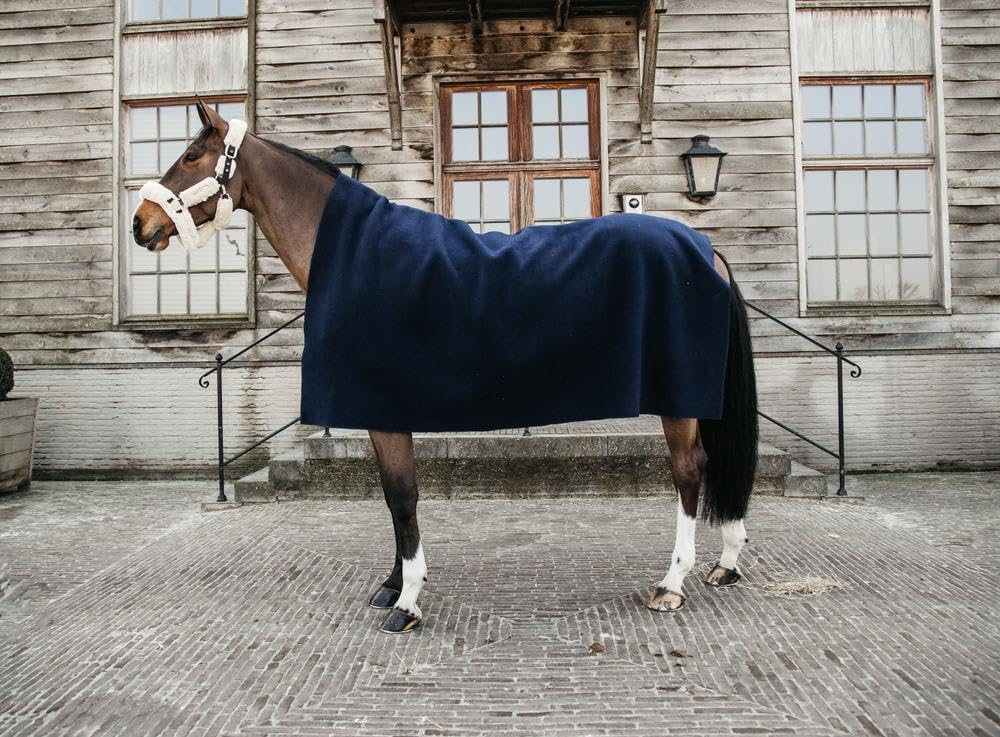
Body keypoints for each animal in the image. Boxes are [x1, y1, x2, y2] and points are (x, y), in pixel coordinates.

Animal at [132, 100, 758, 634]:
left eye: (191, 158)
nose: (141, 223)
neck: (354, 255)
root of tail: (703, 247)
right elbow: (393, 499)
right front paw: (392, 584)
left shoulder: (387, 413)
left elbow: (402, 496)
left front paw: (407, 601)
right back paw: (726, 563)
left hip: (678, 403)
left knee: (689, 472)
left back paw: (672, 583)